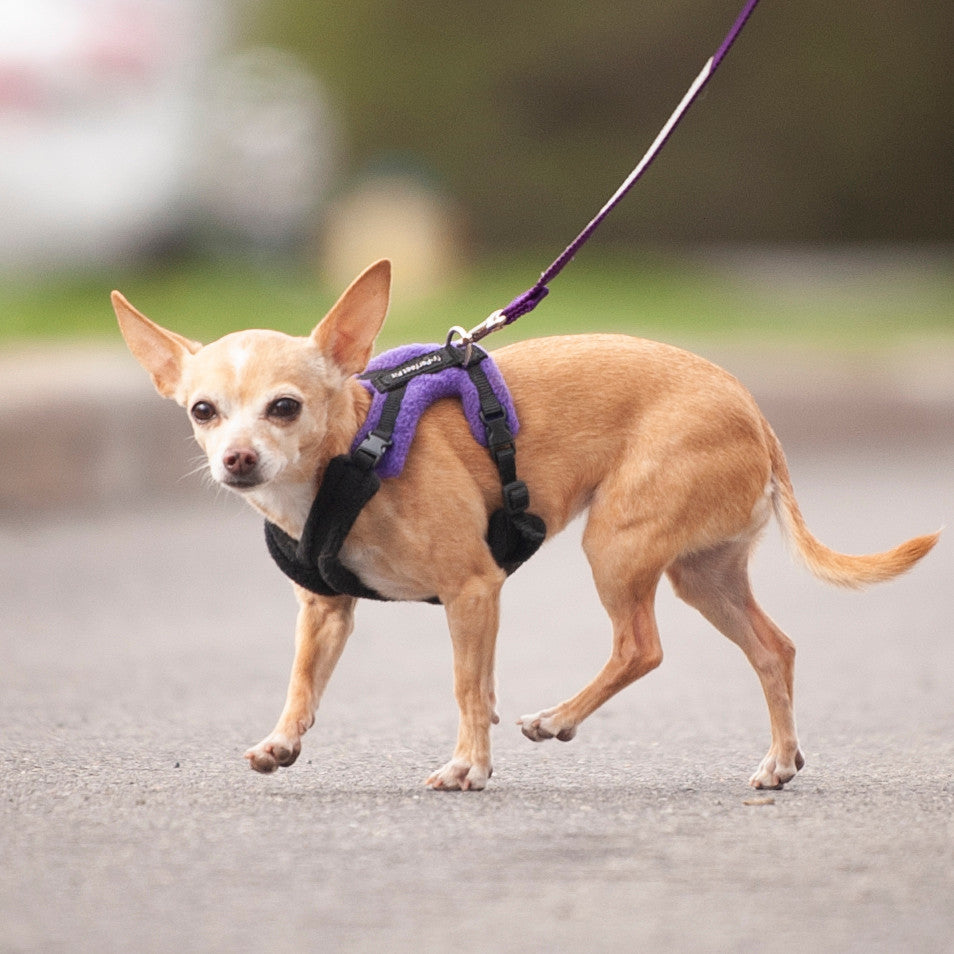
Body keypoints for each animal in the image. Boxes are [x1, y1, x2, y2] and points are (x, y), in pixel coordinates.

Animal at [113, 258, 936, 788]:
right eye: (203, 412)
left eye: (284, 407)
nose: (237, 460)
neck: (353, 452)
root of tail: (754, 413)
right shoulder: (326, 609)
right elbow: (304, 681)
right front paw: (282, 742)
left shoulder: (473, 590)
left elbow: (466, 686)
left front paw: (467, 765)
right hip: (703, 573)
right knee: (774, 649)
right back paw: (778, 763)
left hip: (618, 545)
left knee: (641, 647)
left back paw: (557, 719)